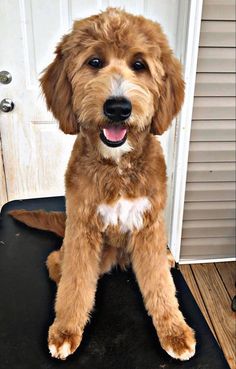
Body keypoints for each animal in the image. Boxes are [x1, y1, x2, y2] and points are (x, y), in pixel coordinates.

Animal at [9, 7, 195, 360]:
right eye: (94, 62)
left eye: (140, 65)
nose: (118, 107)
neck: (117, 168)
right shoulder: (83, 226)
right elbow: (77, 284)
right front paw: (66, 330)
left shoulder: (149, 226)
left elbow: (161, 286)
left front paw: (174, 331)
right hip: (81, 246)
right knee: (58, 264)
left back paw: (167, 259)